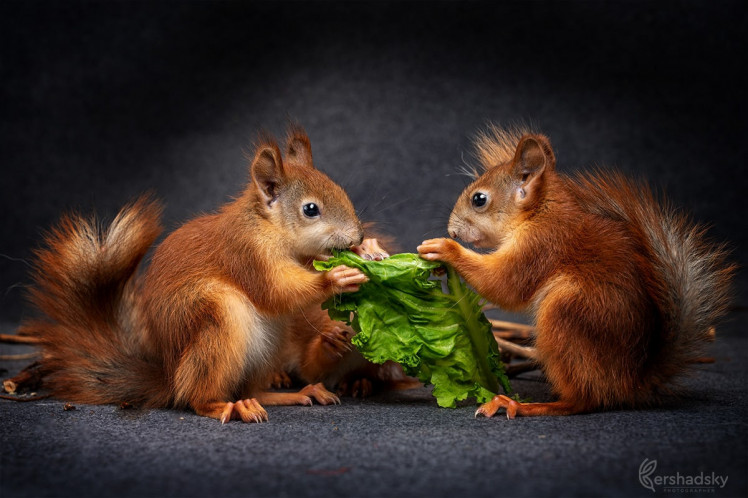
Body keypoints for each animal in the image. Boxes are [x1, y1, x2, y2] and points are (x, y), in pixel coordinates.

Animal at [17, 126, 368, 422]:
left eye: (338, 188)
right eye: (310, 210)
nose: (358, 236)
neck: (267, 226)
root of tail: (170, 378)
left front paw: (361, 256)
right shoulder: (246, 254)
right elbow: (276, 291)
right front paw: (336, 277)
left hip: (270, 344)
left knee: (253, 389)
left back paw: (291, 394)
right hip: (218, 322)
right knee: (195, 396)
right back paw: (228, 406)